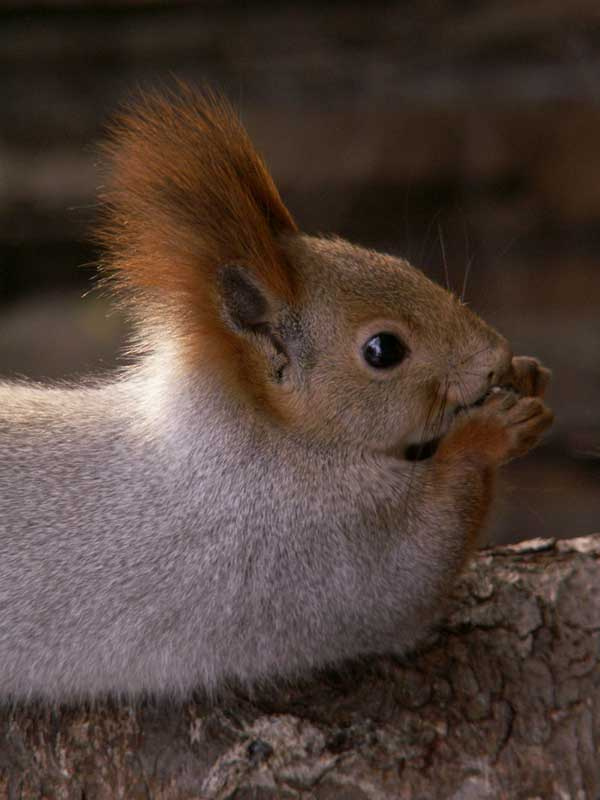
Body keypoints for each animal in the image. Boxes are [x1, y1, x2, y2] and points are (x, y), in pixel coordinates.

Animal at [0, 86, 553, 701]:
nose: (496, 355)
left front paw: (526, 374)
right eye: (383, 349)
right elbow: (411, 570)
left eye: (399, 262)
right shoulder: (298, 539)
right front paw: (489, 435)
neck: (261, 432)